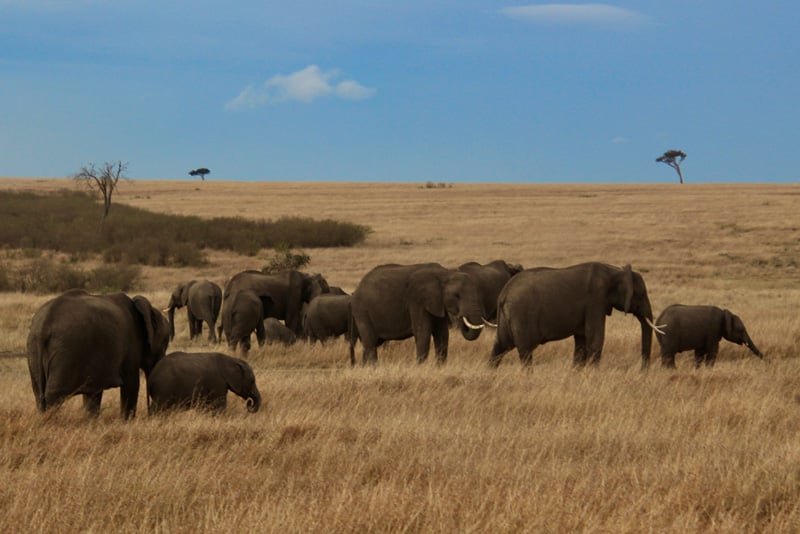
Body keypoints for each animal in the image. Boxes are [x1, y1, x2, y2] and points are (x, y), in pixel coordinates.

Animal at [26, 292, 170, 420]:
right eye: (164, 343)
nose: (151, 415)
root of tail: (43, 325)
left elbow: (94, 392)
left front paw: (91, 421)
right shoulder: (131, 346)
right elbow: (131, 384)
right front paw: (127, 422)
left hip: (33, 351)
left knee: (39, 394)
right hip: (64, 352)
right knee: (54, 395)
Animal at [348, 264, 488, 366]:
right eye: (456, 296)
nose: (460, 317)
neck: (444, 273)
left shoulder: (437, 303)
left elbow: (442, 334)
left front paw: (440, 367)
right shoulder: (417, 301)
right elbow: (423, 332)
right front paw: (420, 367)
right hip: (362, 311)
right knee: (370, 342)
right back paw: (373, 368)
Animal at [490, 262, 660, 370]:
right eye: (641, 295)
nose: (642, 372)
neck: (614, 270)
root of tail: (503, 294)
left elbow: (581, 341)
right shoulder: (595, 300)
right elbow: (595, 339)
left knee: (500, 347)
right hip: (522, 315)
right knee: (524, 351)